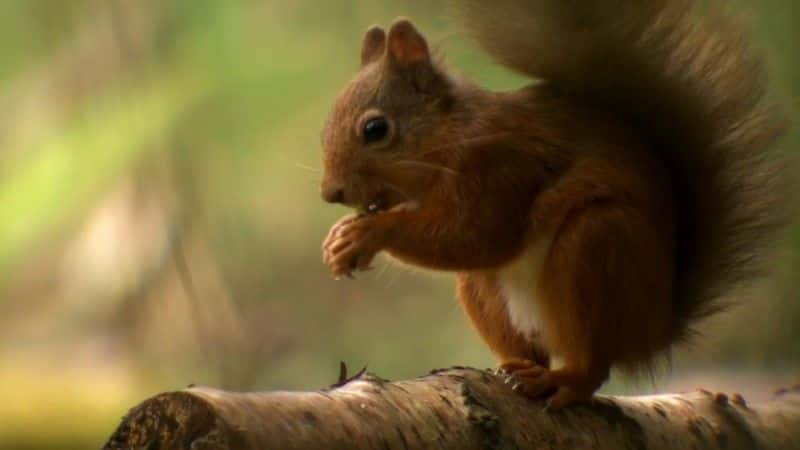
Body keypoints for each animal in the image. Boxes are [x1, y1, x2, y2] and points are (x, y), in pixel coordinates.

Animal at [318, 0, 788, 408]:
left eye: (376, 129)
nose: (331, 193)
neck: (449, 133)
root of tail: (655, 329)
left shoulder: (500, 167)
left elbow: (476, 235)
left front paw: (369, 233)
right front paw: (339, 240)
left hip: (596, 248)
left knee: (592, 365)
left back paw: (563, 380)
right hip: (489, 291)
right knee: (524, 340)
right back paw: (516, 368)